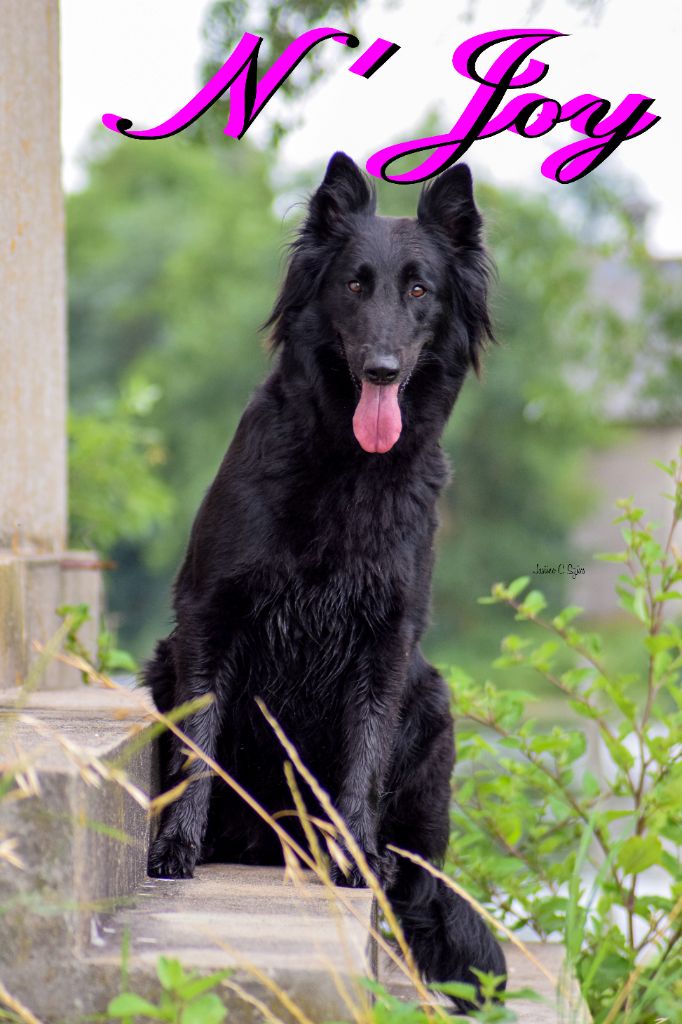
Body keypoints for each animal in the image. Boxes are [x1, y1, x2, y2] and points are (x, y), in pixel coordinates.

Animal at [147, 151, 503, 1007]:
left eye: (420, 290)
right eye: (353, 284)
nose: (380, 368)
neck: (349, 465)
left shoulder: (388, 640)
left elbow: (362, 756)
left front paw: (353, 859)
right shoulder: (209, 617)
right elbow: (199, 744)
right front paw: (178, 845)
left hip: (433, 696)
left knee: (421, 881)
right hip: (164, 660)